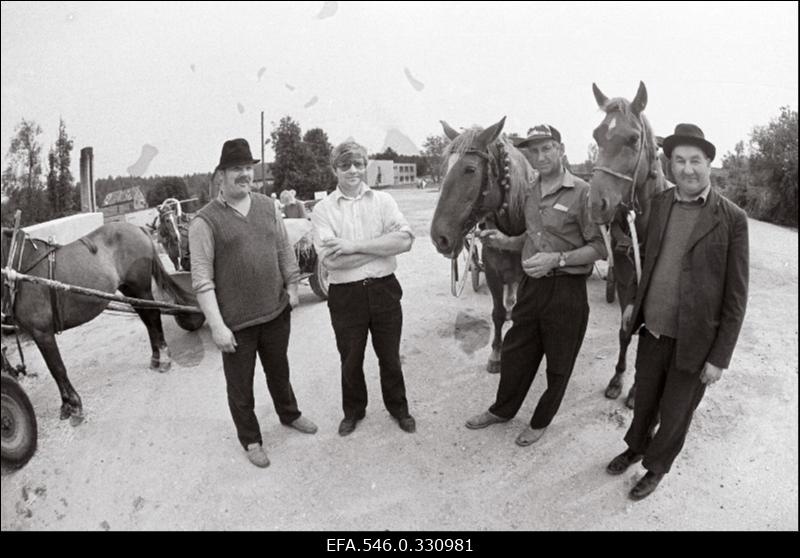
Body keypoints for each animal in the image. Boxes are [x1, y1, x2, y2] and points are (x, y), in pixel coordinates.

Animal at [1, 223, 202, 424]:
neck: (20, 266)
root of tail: (136, 228)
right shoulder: (37, 334)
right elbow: (54, 371)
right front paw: (66, 406)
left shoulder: (43, 332)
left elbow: (57, 368)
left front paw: (75, 406)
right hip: (130, 290)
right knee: (148, 319)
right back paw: (156, 358)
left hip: (140, 288)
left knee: (153, 316)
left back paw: (164, 358)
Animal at [428, 116, 536, 374]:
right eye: (444, 170)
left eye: (470, 169)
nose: (440, 237)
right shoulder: (494, 273)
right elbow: (497, 314)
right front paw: (496, 355)